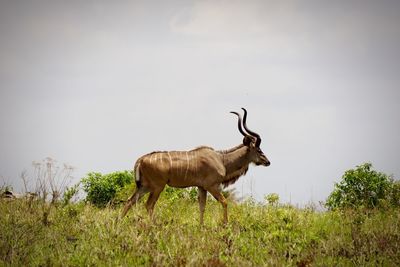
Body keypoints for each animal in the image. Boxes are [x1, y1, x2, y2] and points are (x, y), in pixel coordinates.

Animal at [120, 108, 270, 225]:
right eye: (259, 150)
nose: (267, 162)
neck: (221, 159)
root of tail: (141, 159)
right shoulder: (212, 185)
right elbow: (224, 201)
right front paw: (225, 224)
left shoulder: (201, 187)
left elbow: (202, 207)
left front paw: (201, 226)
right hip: (157, 186)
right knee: (149, 204)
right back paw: (154, 225)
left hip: (144, 186)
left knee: (129, 201)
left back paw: (119, 223)